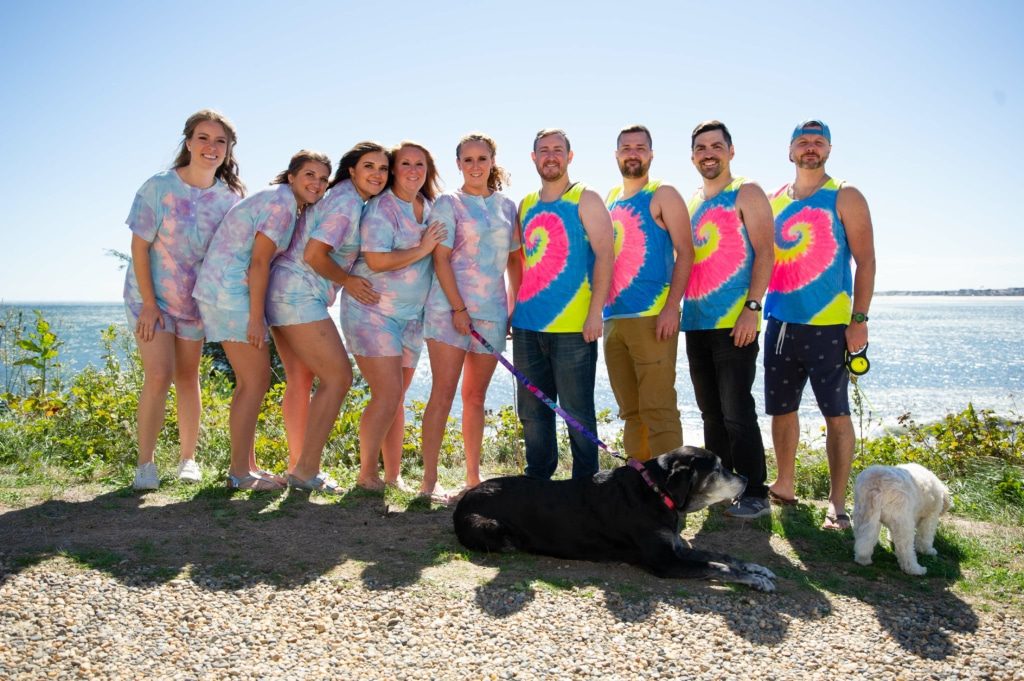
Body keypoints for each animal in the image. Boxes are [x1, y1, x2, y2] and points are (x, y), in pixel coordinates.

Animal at [456, 446, 774, 589]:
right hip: (493, 528)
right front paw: (753, 579)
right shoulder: (664, 561)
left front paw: (758, 569)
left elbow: (722, 556)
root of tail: (462, 500)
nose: (747, 480)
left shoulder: (675, 547)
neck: (655, 491)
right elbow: (716, 566)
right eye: (718, 469)